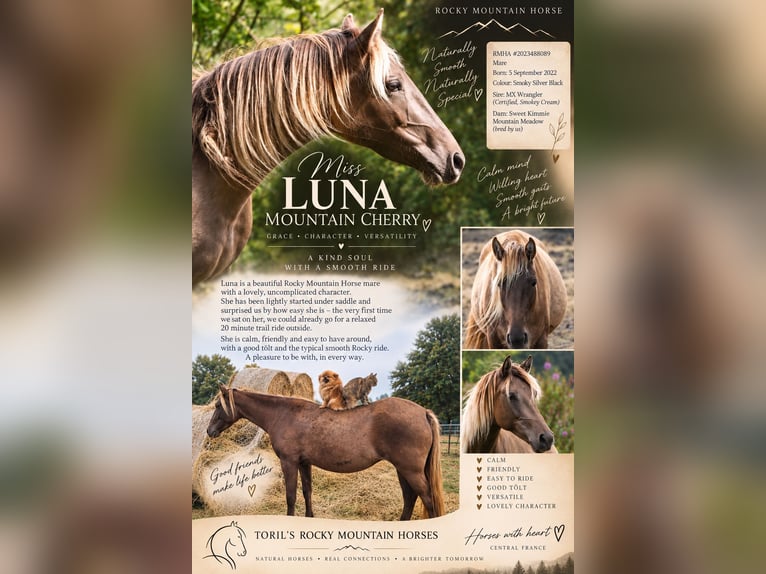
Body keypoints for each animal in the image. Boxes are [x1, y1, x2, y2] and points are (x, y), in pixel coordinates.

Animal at [206, 385, 445, 520]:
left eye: (218, 405)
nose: (209, 431)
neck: (284, 414)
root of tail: (423, 412)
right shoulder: (304, 463)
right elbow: (307, 492)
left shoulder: (289, 462)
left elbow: (291, 496)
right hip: (402, 470)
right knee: (410, 498)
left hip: (410, 470)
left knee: (427, 499)